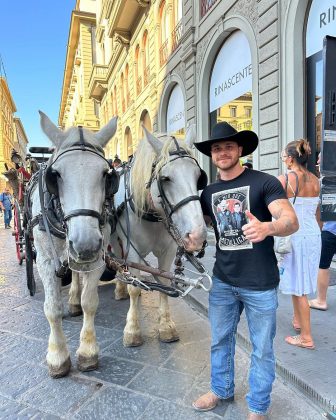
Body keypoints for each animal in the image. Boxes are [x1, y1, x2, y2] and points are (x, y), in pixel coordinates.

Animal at [29, 111, 118, 378]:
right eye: (55, 175)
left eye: (106, 174)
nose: (85, 244)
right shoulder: (45, 260)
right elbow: (52, 308)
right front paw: (57, 355)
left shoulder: (97, 257)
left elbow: (90, 302)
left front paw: (88, 351)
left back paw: (74, 300)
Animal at [110, 126, 207, 346]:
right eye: (166, 178)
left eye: (199, 176)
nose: (197, 236)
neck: (152, 214)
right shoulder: (132, 249)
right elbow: (135, 288)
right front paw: (133, 330)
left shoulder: (168, 251)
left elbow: (163, 282)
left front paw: (166, 326)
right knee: (117, 261)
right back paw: (119, 288)